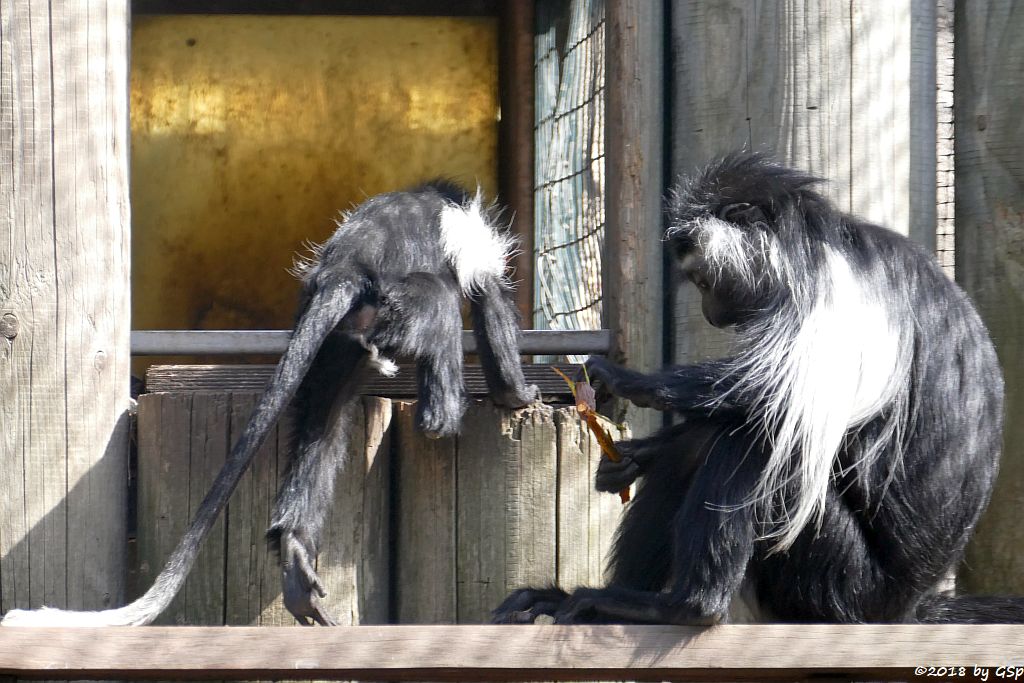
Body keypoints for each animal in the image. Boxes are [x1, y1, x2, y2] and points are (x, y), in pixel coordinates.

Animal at [4, 183, 540, 630]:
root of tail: (346, 268)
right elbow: (489, 292)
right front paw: (516, 395)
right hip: (402, 304)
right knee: (441, 301)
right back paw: (440, 418)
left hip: (343, 333)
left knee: (327, 406)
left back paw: (295, 547)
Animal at [491, 150, 1019, 626]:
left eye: (703, 280)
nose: (710, 314)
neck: (807, 240)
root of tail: (907, 605)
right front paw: (633, 457)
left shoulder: (826, 289)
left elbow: (770, 391)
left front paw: (625, 380)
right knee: (707, 447)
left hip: (844, 581)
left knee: (757, 436)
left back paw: (684, 608)